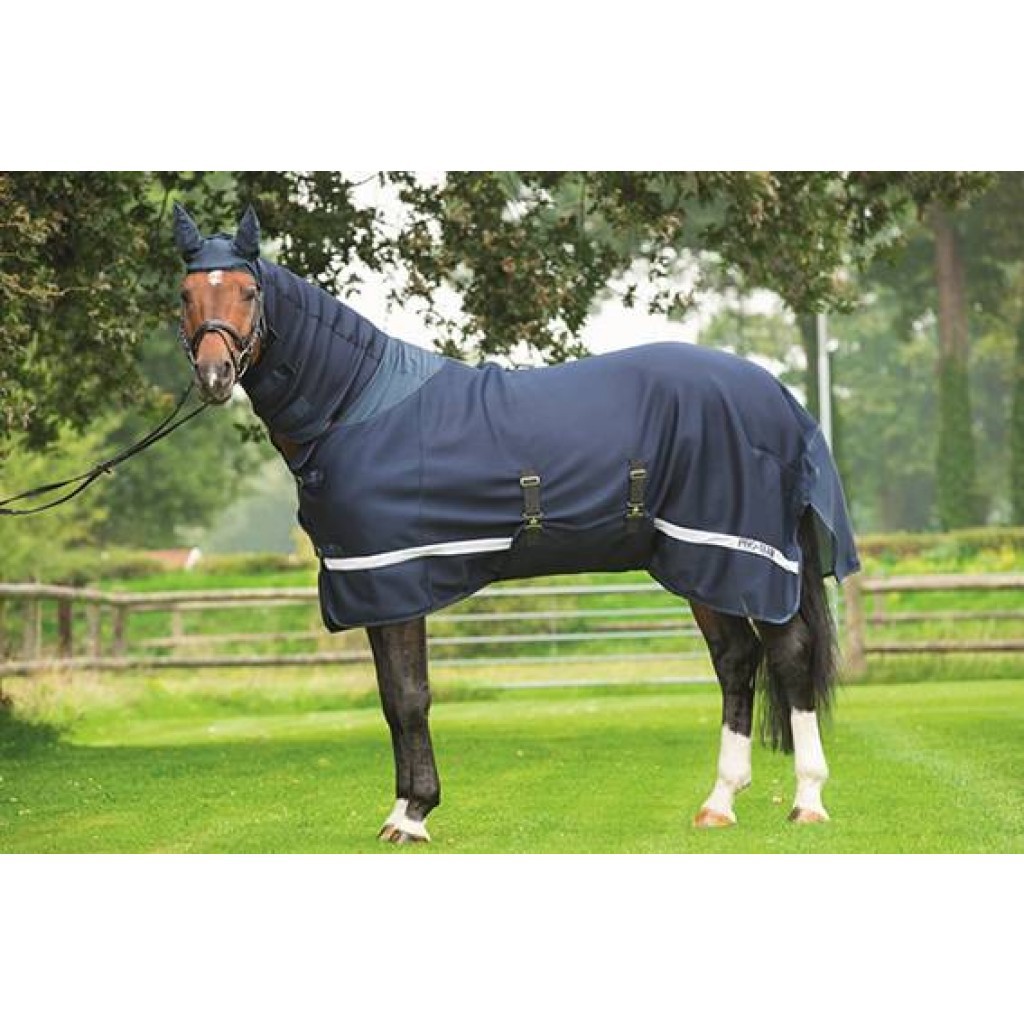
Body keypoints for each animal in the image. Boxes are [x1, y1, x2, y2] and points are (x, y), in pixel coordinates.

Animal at [173, 203, 860, 844]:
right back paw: (719, 803)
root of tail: (782, 402)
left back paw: (808, 800)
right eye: (185, 294)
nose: (213, 375)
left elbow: (409, 696)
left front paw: (413, 815)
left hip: (745, 558)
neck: (354, 408)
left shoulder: (394, 579)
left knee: (789, 656)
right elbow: (392, 699)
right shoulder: (370, 583)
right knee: (736, 661)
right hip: (701, 563)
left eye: (249, 291)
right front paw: (404, 808)